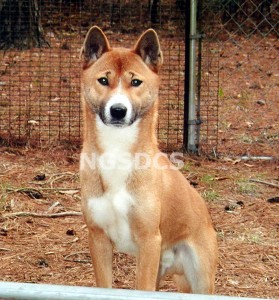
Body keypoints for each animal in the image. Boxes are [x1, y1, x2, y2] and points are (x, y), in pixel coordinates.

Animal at [80, 27, 218, 294]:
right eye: (103, 80)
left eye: (136, 82)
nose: (118, 110)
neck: (116, 151)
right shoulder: (98, 237)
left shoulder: (148, 241)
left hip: (200, 278)